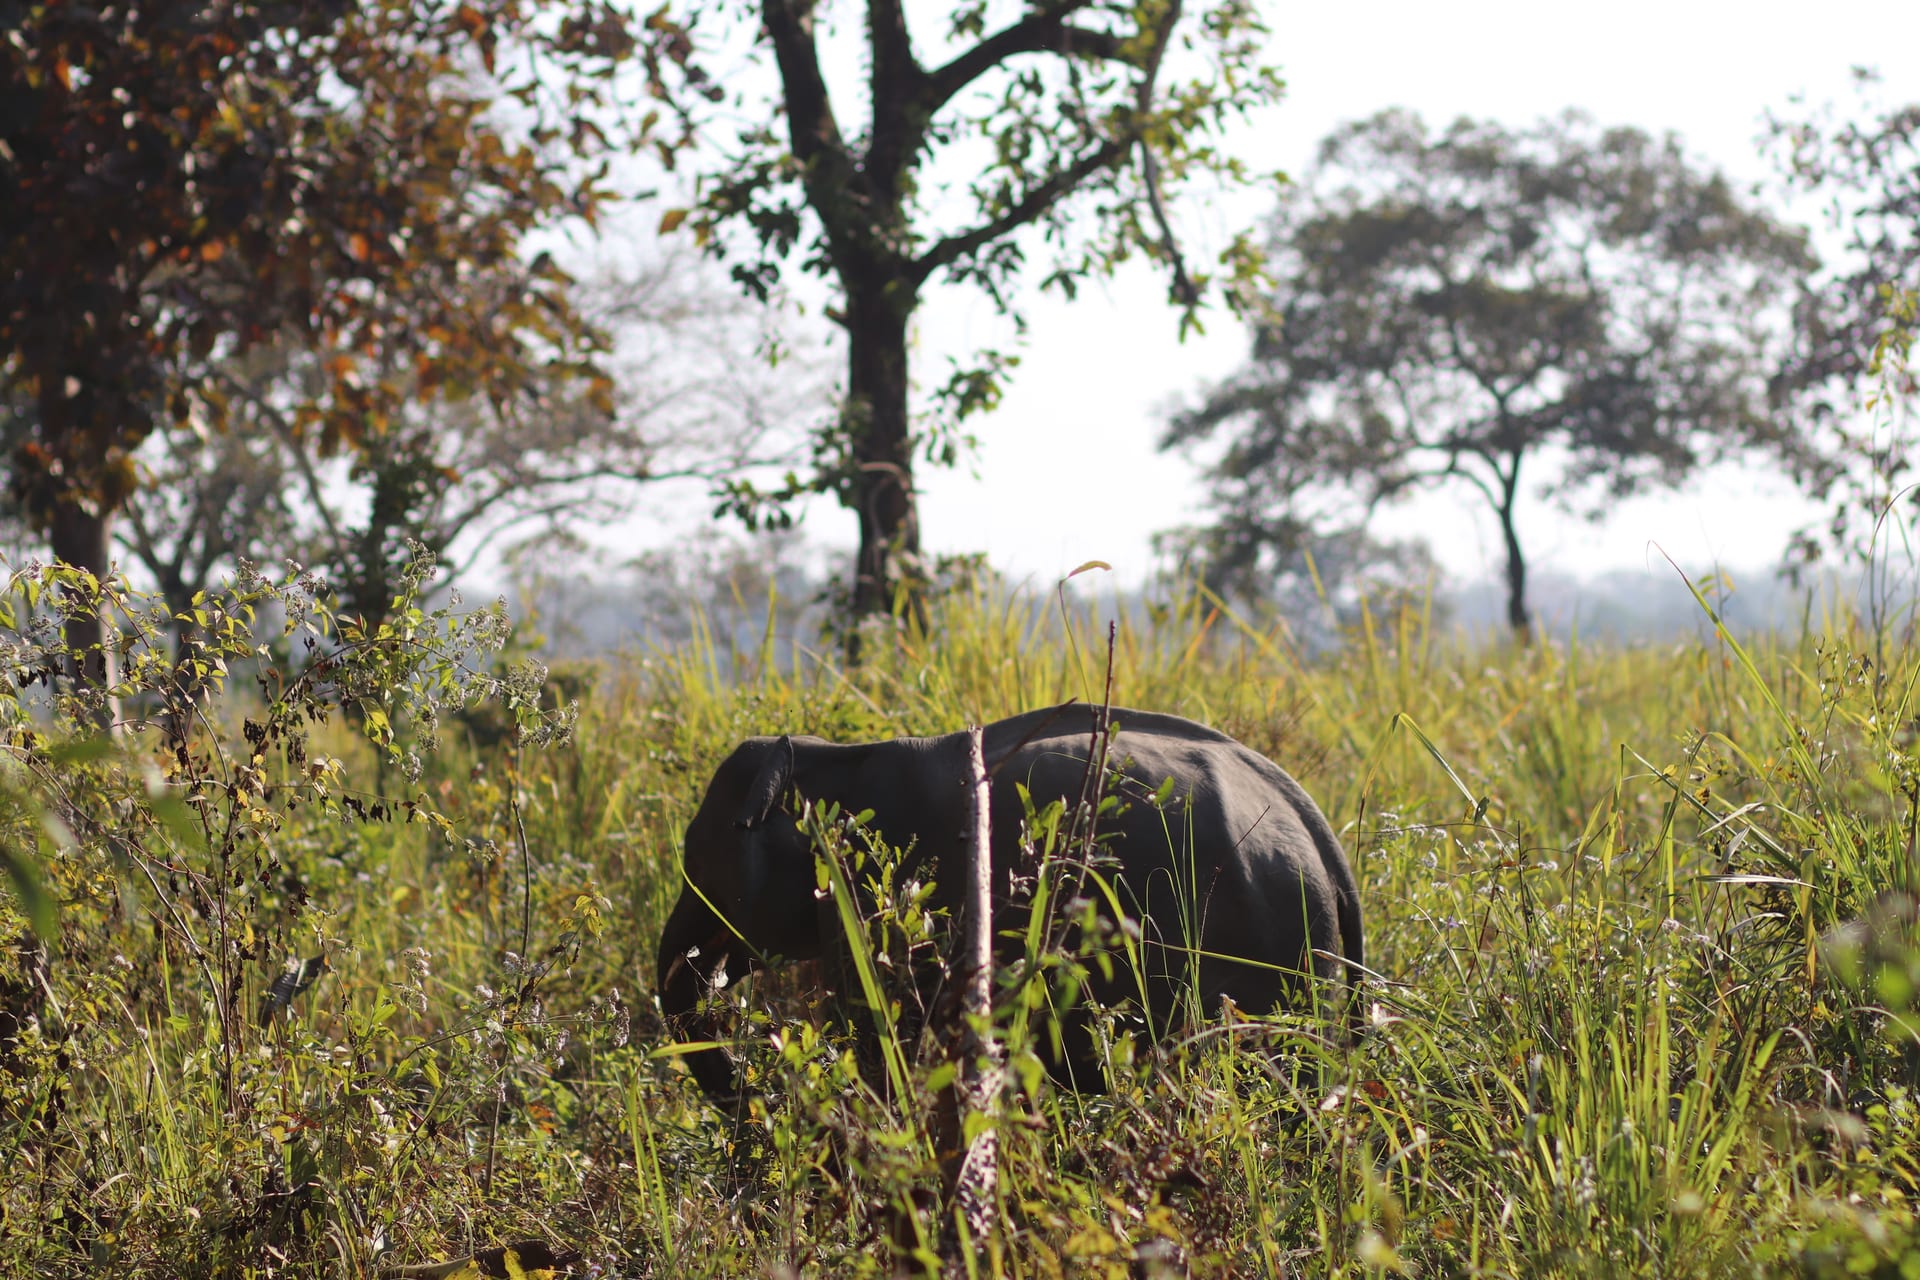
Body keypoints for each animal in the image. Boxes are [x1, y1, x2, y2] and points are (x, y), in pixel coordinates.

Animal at [655, 703, 1363, 1099]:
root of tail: (1321, 833)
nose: (755, 1095)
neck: (832, 756)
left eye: (698, 866)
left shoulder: (891, 895)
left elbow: (883, 1037)